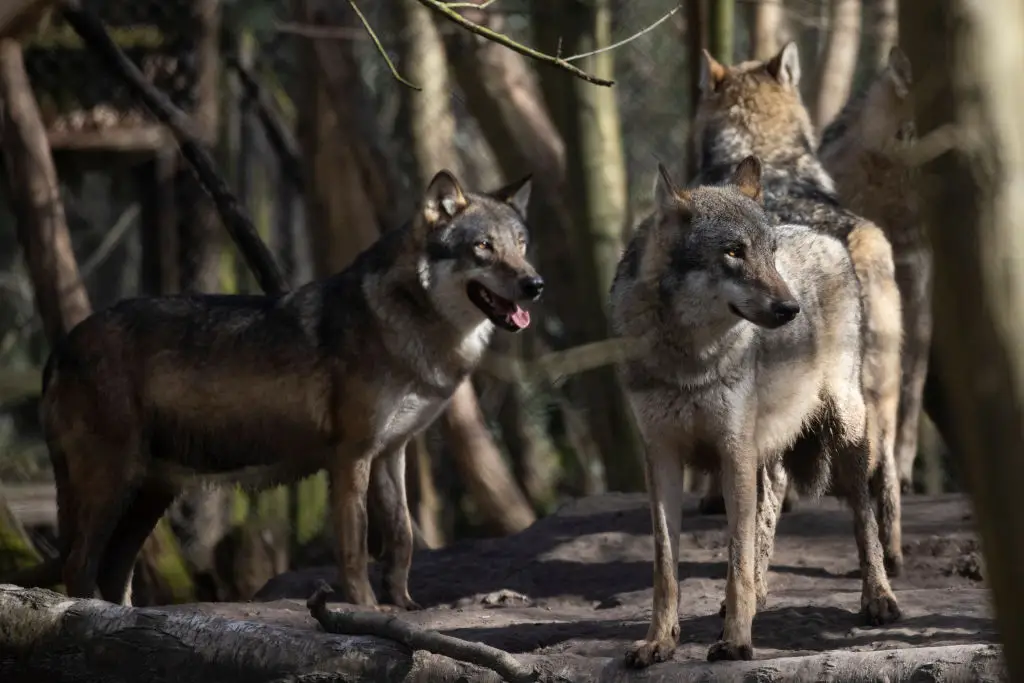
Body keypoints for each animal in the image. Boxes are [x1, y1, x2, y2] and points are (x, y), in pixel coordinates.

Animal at [31, 169, 540, 609]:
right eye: (483, 247)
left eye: (521, 246)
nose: (535, 284)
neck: (405, 324)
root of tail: (62, 344)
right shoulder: (351, 456)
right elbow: (356, 547)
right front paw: (367, 611)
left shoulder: (392, 452)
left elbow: (402, 538)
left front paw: (405, 606)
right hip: (111, 484)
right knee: (79, 565)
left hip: (149, 494)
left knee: (115, 569)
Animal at [611, 156, 898, 665]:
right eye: (733, 252)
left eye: (770, 252)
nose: (790, 308)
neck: (689, 359)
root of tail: (824, 236)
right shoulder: (662, 455)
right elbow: (666, 567)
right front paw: (659, 641)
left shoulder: (733, 450)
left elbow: (736, 558)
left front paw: (735, 640)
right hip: (769, 441)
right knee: (774, 494)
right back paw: (760, 594)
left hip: (845, 428)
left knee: (862, 514)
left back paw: (878, 597)